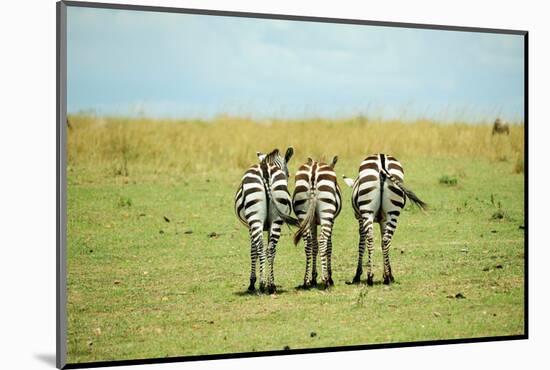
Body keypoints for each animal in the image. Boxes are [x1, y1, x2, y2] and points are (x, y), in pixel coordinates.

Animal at [235, 146, 300, 294]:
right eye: (288, 175)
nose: (287, 177)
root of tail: (265, 169)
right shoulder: (269, 225)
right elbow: (269, 250)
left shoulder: (250, 227)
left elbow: (253, 251)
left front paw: (252, 282)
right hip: (277, 219)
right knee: (270, 249)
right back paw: (271, 286)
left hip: (255, 218)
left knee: (260, 247)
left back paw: (262, 284)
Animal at [292, 156, 342, 290]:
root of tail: (314, 169)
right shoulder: (332, 220)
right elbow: (329, 246)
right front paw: (330, 277)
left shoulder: (312, 221)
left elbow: (315, 246)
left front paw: (313, 278)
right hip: (327, 213)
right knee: (323, 241)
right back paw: (326, 280)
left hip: (302, 211)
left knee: (308, 243)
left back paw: (306, 281)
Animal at [342, 153, 430, 286]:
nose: (354, 215)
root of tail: (382, 161)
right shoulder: (383, 220)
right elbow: (383, 244)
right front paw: (387, 273)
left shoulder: (361, 219)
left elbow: (361, 244)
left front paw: (357, 275)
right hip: (393, 212)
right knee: (386, 240)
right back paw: (388, 278)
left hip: (367, 211)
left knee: (370, 239)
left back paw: (370, 277)